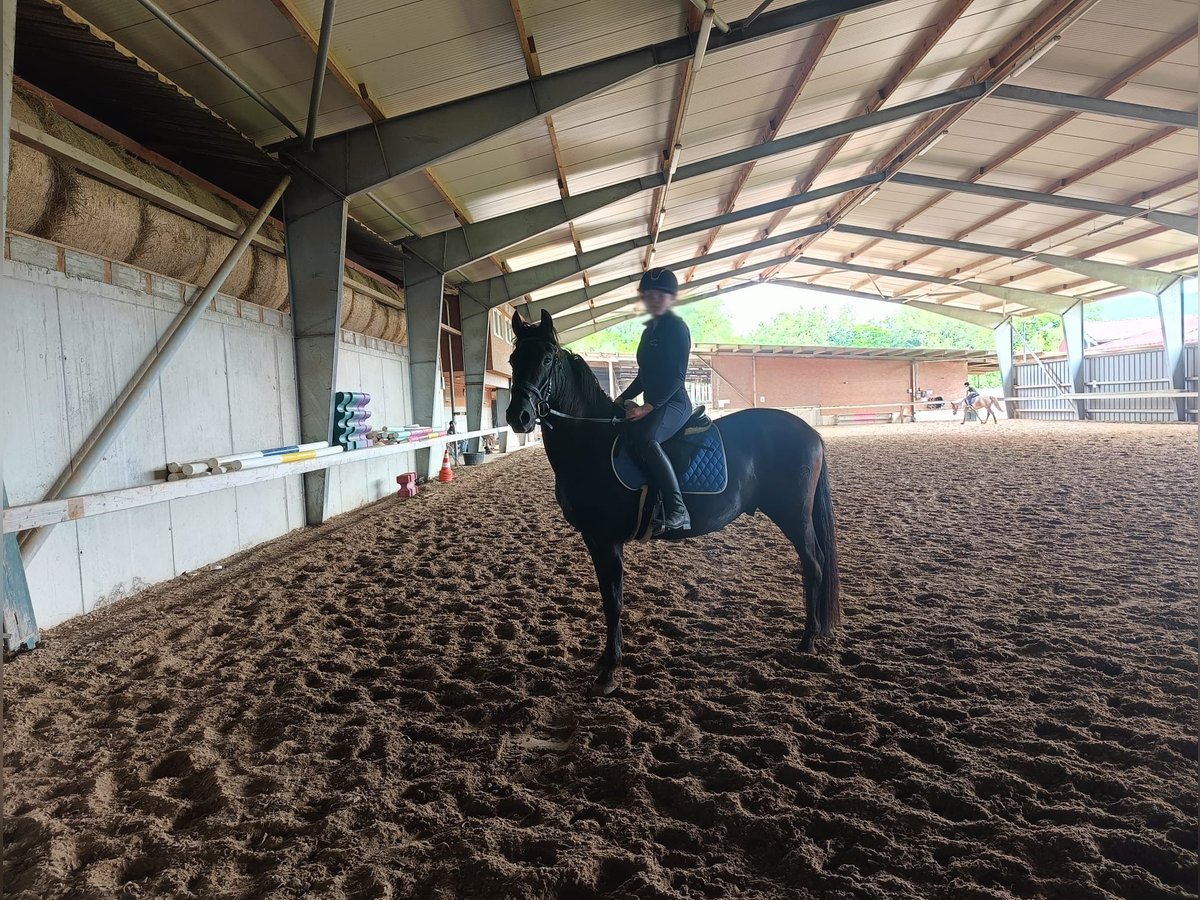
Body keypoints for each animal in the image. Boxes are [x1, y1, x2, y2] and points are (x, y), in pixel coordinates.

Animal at [501, 309, 840, 696]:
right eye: (513, 360)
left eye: (547, 359)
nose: (518, 417)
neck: (592, 442)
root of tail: (811, 432)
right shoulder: (593, 538)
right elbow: (606, 597)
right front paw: (604, 661)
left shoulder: (608, 539)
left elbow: (614, 600)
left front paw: (610, 672)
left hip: (793, 515)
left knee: (813, 564)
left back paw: (808, 640)